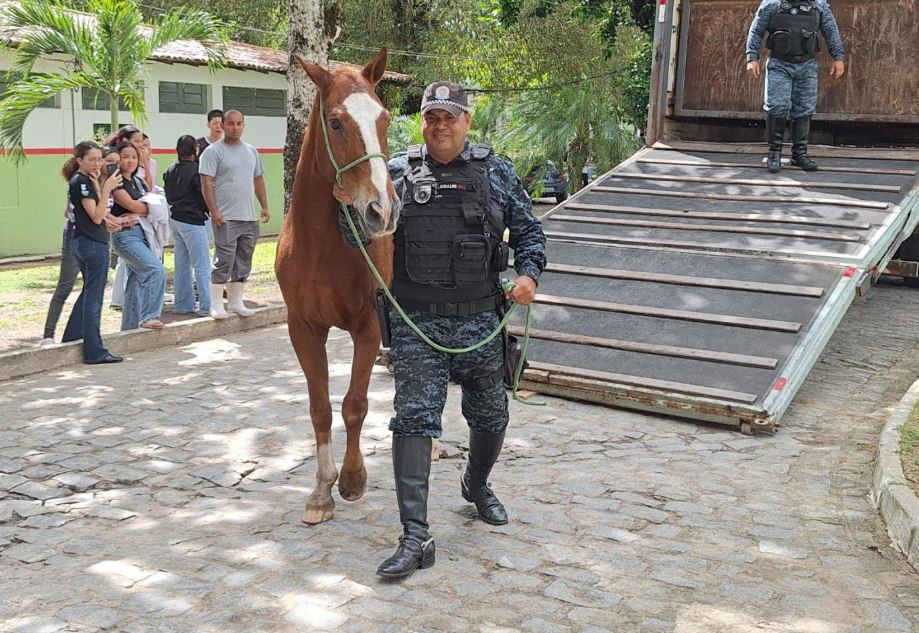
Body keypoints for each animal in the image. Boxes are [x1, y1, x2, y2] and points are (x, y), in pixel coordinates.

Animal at [275, 49, 400, 525]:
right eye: (336, 122)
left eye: (384, 118)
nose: (382, 211)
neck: (320, 246)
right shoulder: (304, 329)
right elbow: (321, 408)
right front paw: (320, 491)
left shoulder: (370, 326)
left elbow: (354, 404)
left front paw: (351, 479)